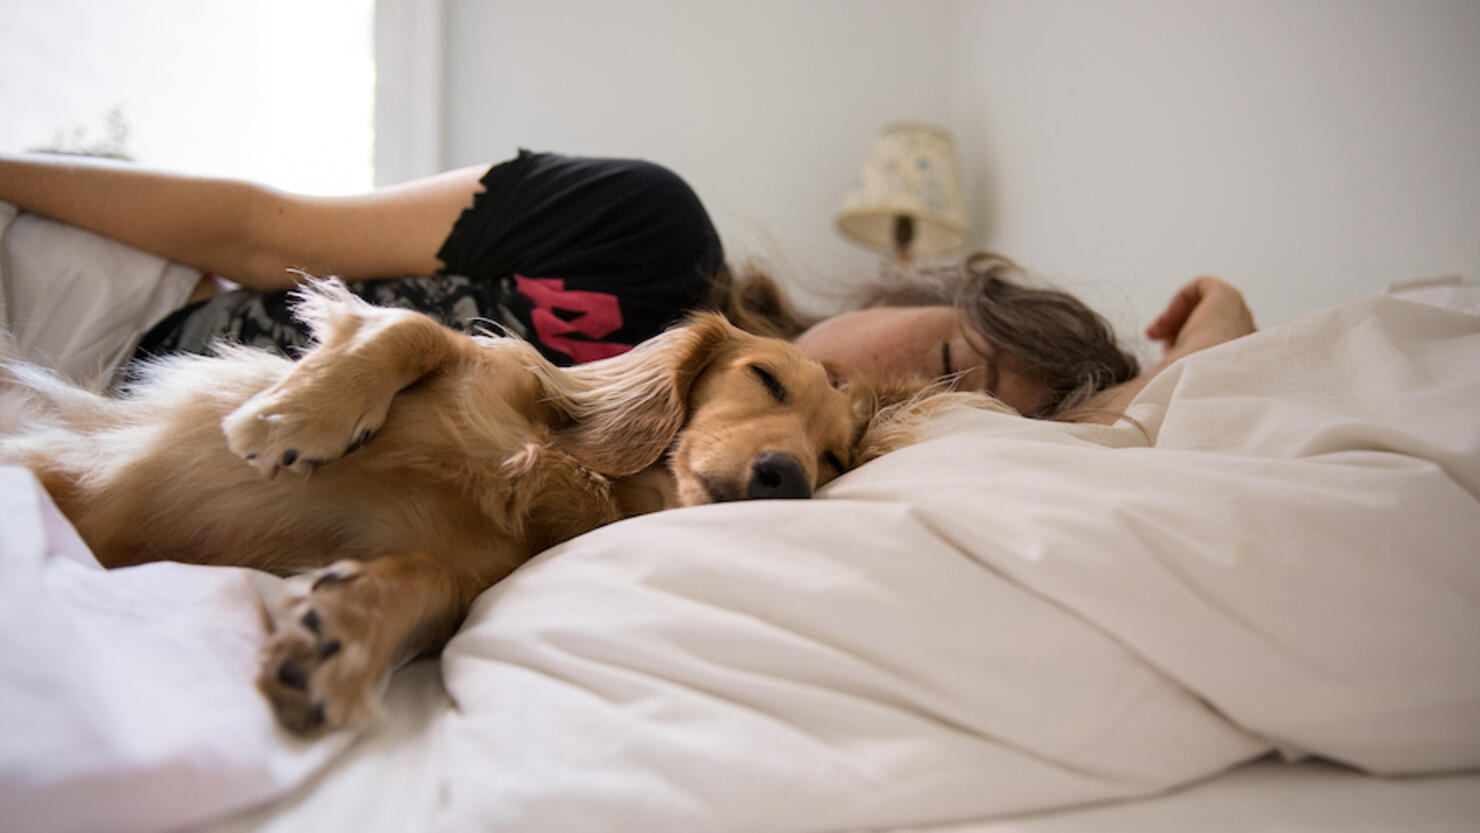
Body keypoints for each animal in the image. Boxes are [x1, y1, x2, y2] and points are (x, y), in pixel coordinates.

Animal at [2, 282, 1006, 736]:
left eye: (834, 459)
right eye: (764, 377)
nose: (787, 476)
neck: (569, 471)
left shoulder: (463, 565)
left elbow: (424, 584)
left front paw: (341, 636)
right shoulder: (470, 364)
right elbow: (412, 328)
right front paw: (294, 417)